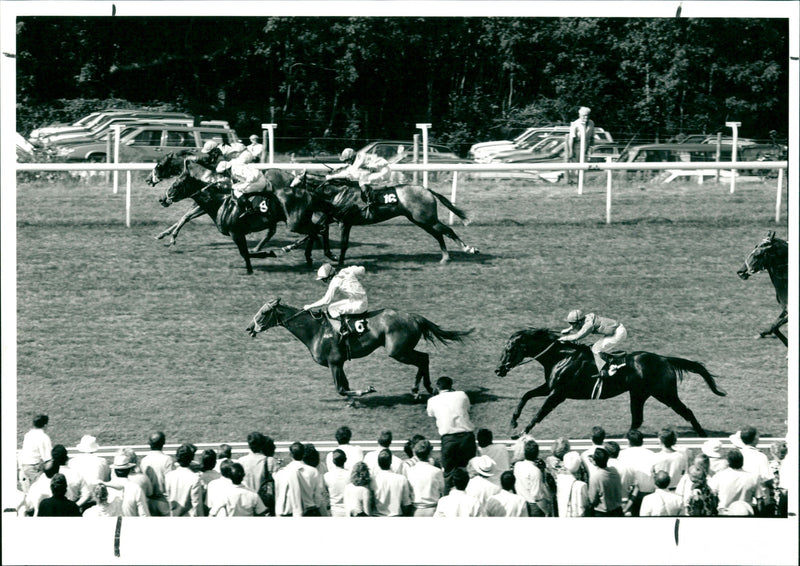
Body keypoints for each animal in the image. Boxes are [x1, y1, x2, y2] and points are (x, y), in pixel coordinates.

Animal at [242, 300, 468, 402]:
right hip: (402, 350)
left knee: (422, 359)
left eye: (264, 312)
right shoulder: (339, 363)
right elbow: (345, 386)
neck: (315, 330)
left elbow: (341, 389)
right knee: (424, 358)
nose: (249, 328)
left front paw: (366, 390)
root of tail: (414, 317)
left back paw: (418, 389)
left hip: (398, 351)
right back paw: (426, 388)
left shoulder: (334, 363)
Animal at [494, 328, 724, 440]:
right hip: (638, 394)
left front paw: (522, 433)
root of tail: (664, 359)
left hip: (664, 393)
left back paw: (702, 436)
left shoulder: (558, 393)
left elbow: (539, 413)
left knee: (687, 411)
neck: (561, 356)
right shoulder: (550, 387)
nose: (498, 370)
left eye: (509, 349)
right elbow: (525, 395)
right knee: (637, 418)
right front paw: (513, 422)